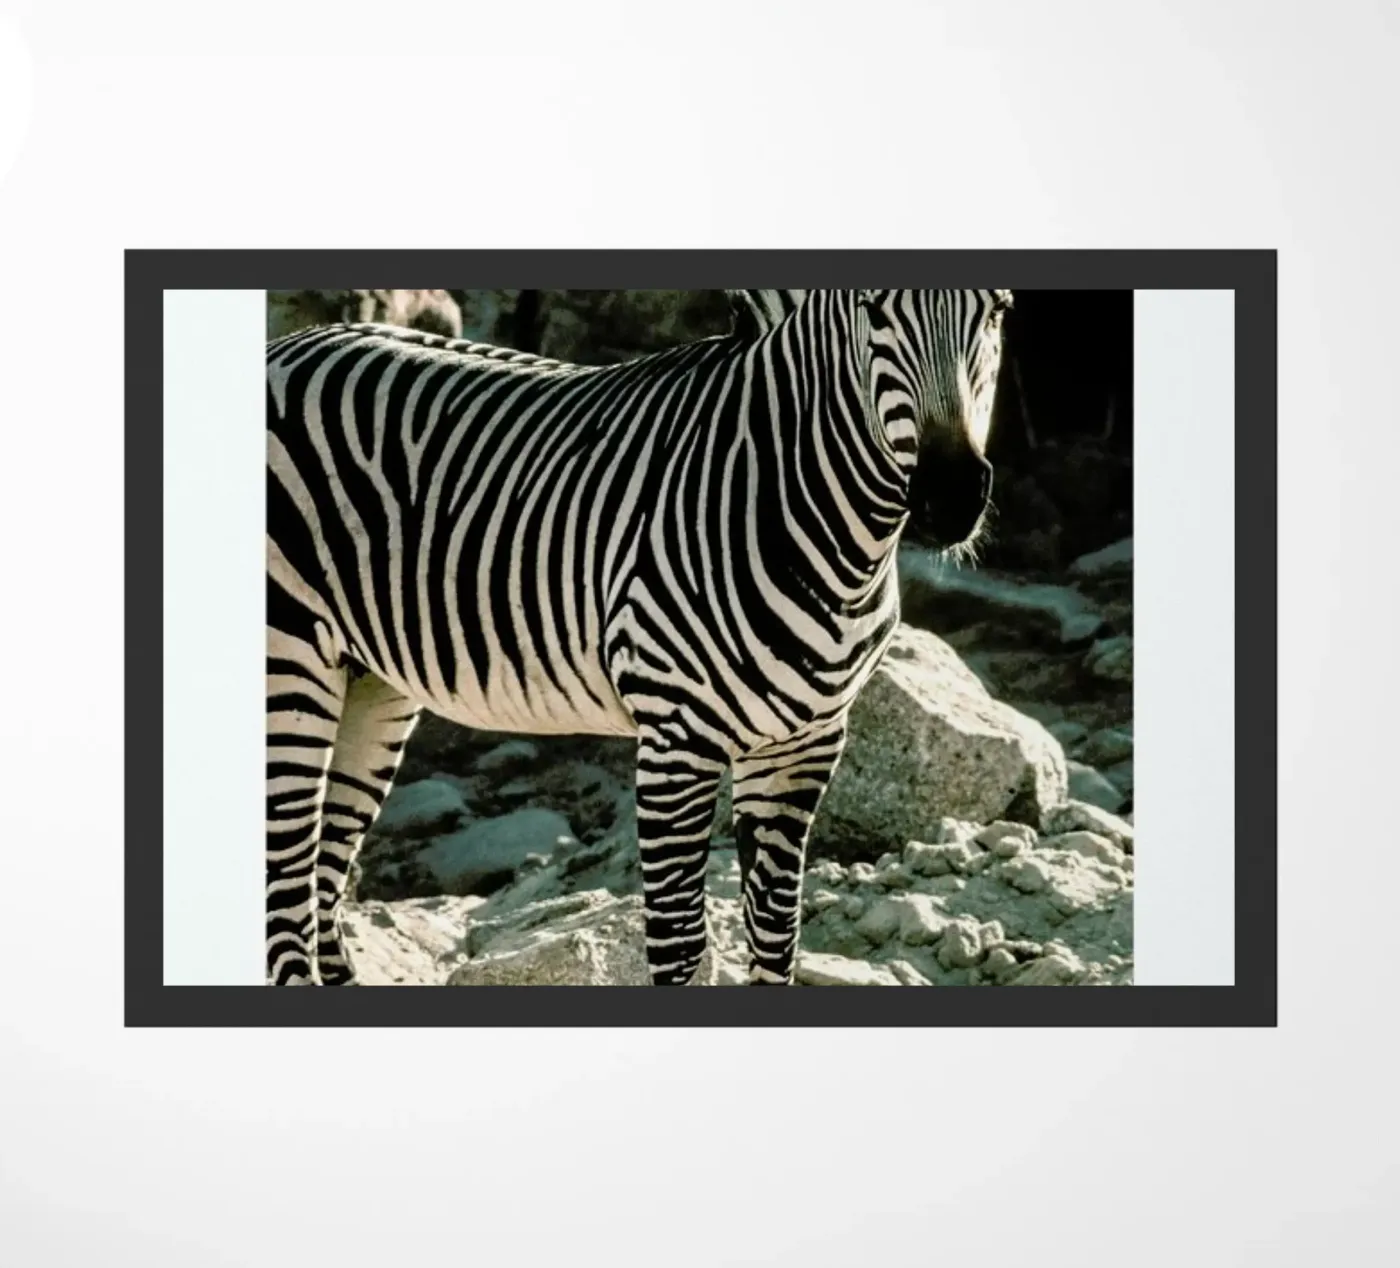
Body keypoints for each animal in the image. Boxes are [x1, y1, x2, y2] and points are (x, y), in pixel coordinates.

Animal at [265, 288, 1013, 987]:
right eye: (869, 306)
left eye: (998, 311)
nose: (950, 496)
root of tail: (290, 344)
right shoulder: (677, 741)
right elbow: (681, 948)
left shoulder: (804, 743)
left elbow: (777, 937)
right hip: (291, 665)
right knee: (286, 892)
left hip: (371, 680)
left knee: (322, 882)